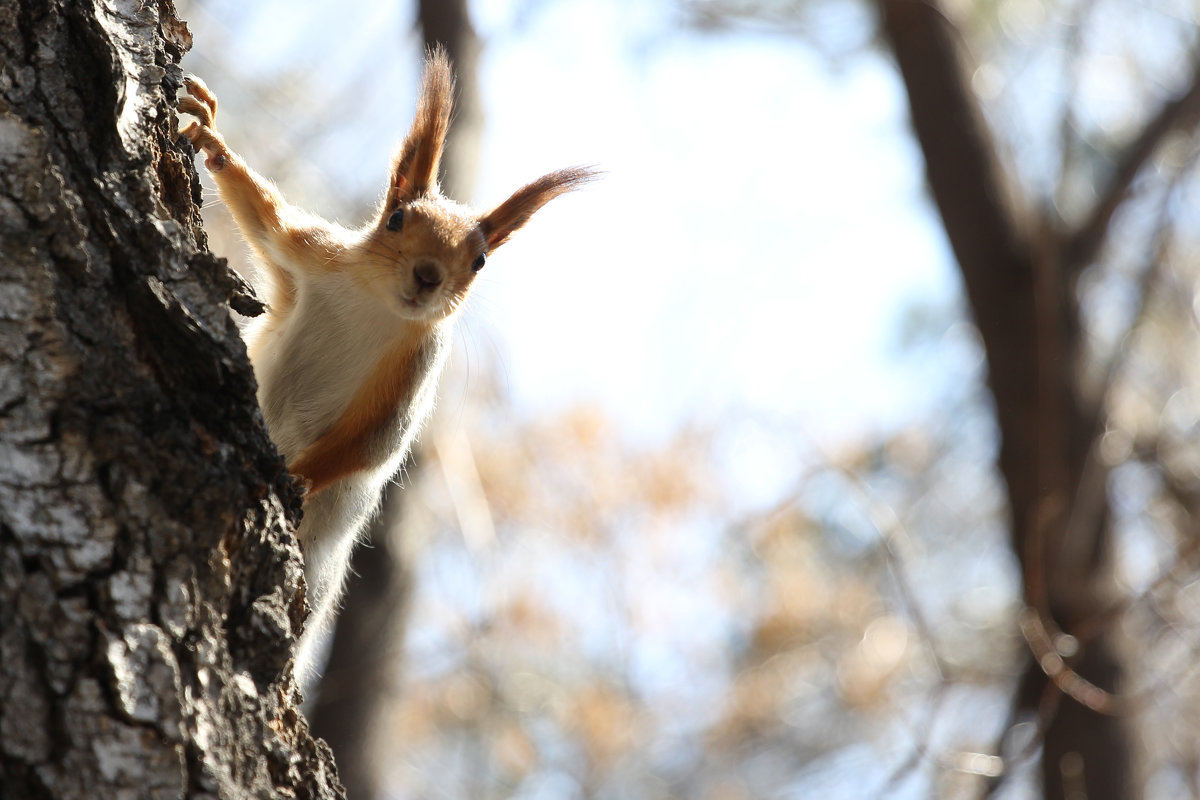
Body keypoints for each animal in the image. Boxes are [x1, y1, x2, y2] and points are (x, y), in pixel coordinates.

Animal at [177, 48, 595, 681]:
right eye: (396, 219)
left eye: (479, 260)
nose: (427, 276)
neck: (376, 303)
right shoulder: (312, 251)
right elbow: (264, 219)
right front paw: (210, 132)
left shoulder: (417, 368)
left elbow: (376, 439)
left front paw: (294, 476)